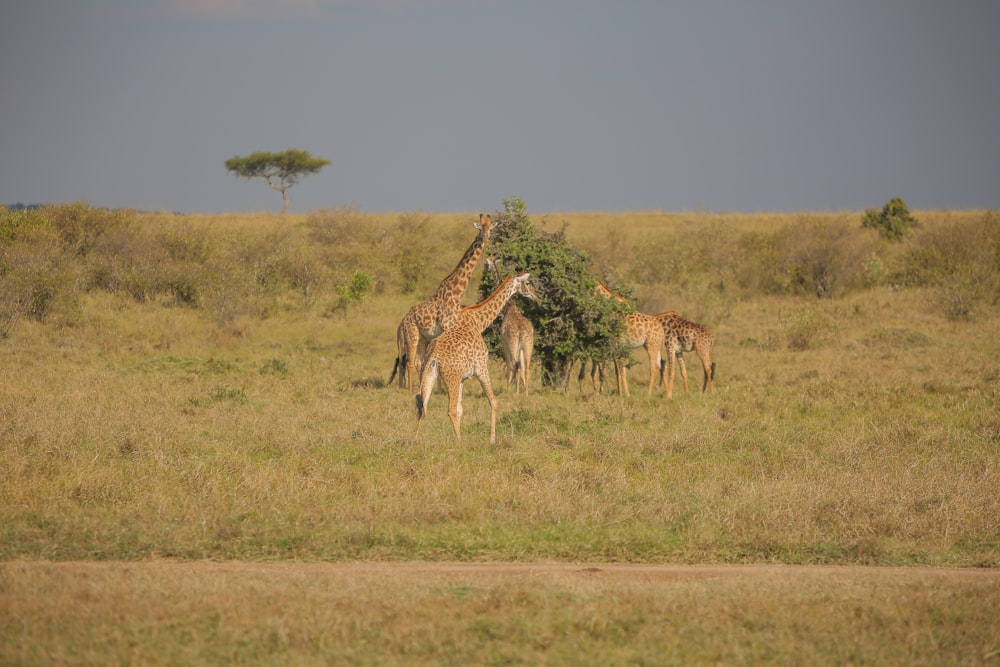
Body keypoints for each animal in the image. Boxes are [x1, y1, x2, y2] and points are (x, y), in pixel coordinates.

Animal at [386, 214, 492, 392]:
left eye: (490, 228)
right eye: (479, 228)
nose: (484, 239)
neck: (456, 293)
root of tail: (402, 322)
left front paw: (442, 389)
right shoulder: (446, 327)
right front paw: (444, 389)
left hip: (423, 338)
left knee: (418, 362)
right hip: (412, 335)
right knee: (409, 361)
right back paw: (410, 389)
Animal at [414, 272, 540, 444]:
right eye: (527, 283)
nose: (536, 297)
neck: (479, 321)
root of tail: (433, 355)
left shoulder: (463, 378)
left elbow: (461, 409)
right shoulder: (481, 368)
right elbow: (493, 402)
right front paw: (492, 440)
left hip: (429, 376)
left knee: (423, 408)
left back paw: (414, 441)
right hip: (451, 378)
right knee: (450, 410)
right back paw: (460, 444)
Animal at [482, 254, 536, 392]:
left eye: (486, 264)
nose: (484, 271)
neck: (509, 308)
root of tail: (521, 332)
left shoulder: (504, 343)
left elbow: (509, 367)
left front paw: (508, 390)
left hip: (513, 345)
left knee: (515, 367)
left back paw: (513, 393)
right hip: (528, 346)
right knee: (526, 369)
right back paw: (526, 393)